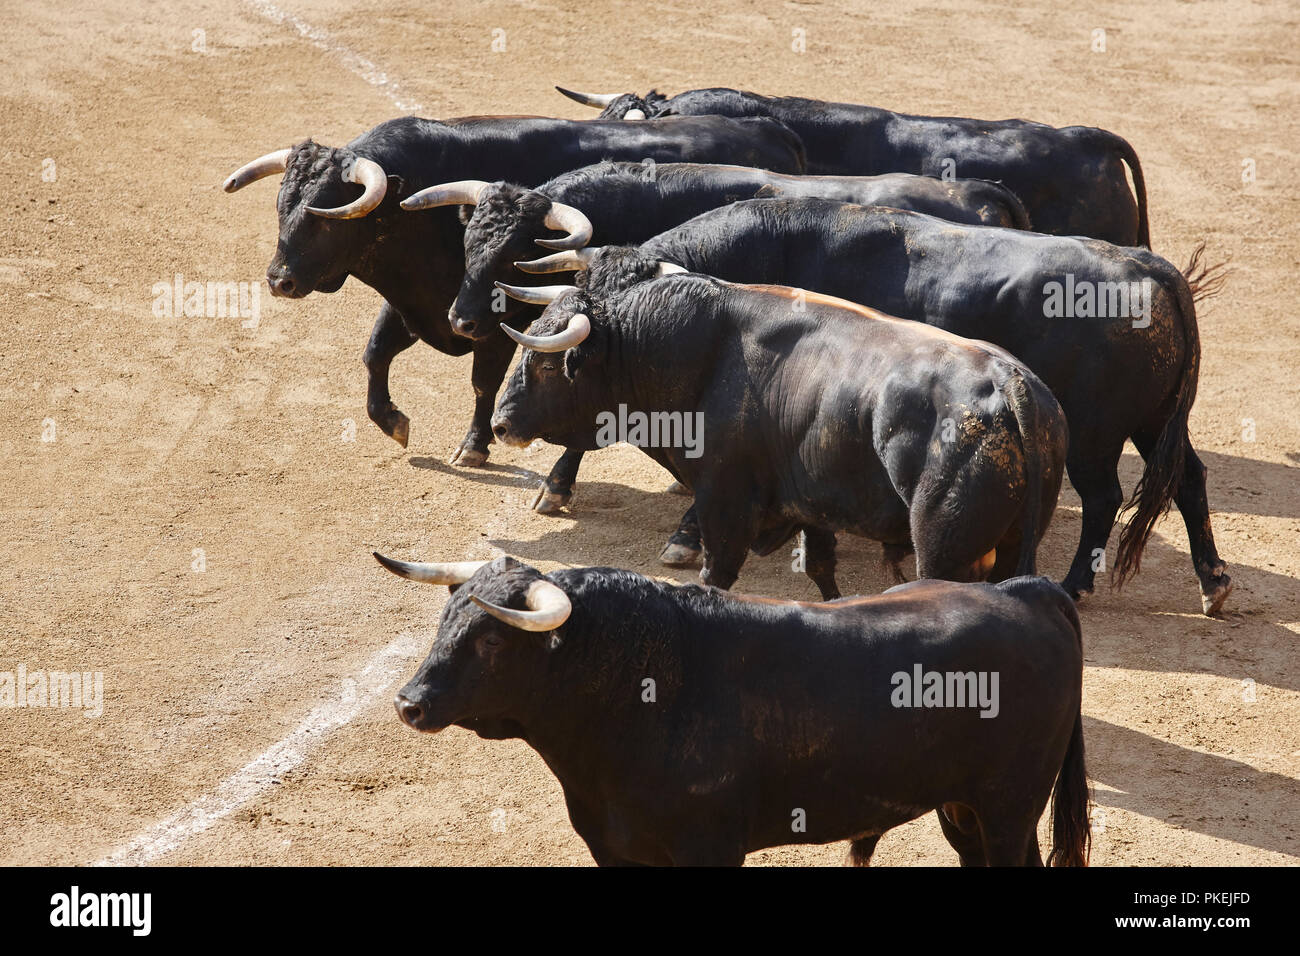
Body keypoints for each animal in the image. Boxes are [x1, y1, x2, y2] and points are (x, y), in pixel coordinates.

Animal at [221, 113, 805, 463]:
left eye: (325, 219)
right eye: (282, 205)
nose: (278, 280)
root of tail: (774, 128)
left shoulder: (498, 326)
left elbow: (484, 383)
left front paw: (473, 447)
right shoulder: (427, 306)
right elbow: (375, 352)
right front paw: (392, 421)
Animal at [378, 552, 1091, 868]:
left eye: (493, 641)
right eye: (445, 616)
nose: (409, 703)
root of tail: (1025, 591)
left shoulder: (710, 849)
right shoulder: (612, 849)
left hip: (1010, 807)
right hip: (963, 808)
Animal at [489, 273, 1068, 598]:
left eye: (546, 365)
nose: (499, 424)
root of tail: (1008, 381)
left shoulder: (723, 502)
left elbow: (717, 573)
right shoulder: (813, 508)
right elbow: (821, 571)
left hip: (943, 549)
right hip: (1009, 544)